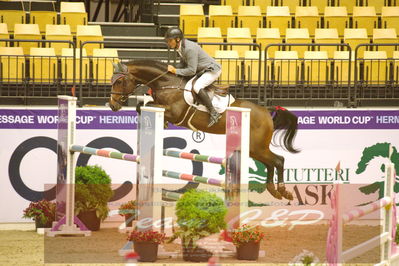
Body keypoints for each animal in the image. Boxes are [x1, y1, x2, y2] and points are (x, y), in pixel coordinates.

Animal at [108, 58, 298, 200]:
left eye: (119, 81)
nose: (112, 105)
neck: (167, 83)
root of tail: (267, 112)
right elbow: (142, 106)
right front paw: (161, 123)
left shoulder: (174, 113)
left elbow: (149, 105)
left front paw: (163, 123)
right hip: (254, 149)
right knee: (271, 163)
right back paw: (274, 191)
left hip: (256, 147)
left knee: (278, 160)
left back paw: (283, 191)